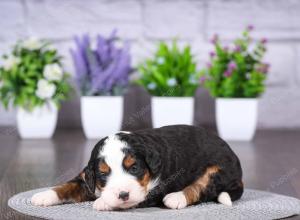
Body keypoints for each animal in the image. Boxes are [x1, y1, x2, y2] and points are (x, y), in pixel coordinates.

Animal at [31, 125, 244, 210]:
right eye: (103, 174)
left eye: (134, 168)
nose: (123, 194)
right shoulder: (87, 177)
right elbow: (68, 186)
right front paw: (43, 195)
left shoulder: (156, 188)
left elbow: (136, 198)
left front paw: (103, 202)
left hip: (219, 170)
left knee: (202, 187)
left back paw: (176, 198)